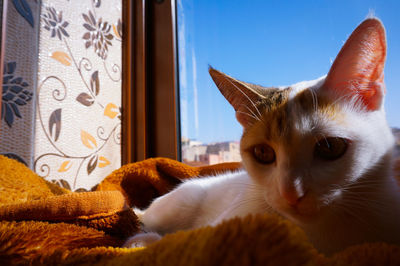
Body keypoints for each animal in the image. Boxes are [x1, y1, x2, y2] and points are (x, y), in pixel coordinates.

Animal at [123, 17, 400, 255]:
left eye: (330, 147)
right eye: (263, 153)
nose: (291, 194)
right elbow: (182, 240)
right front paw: (143, 243)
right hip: (180, 204)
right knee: (148, 220)